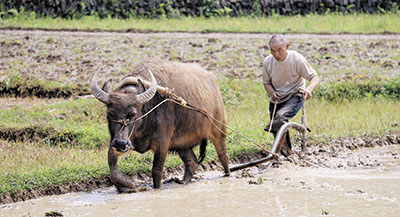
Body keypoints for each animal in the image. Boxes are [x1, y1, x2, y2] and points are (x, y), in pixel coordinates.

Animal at [90, 57, 228, 192]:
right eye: (110, 114)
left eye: (133, 114)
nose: (121, 143)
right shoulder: (114, 141)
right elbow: (113, 172)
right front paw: (128, 186)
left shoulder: (162, 143)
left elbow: (156, 171)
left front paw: (155, 188)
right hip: (182, 144)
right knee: (192, 161)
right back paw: (183, 181)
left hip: (219, 129)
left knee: (222, 154)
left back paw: (227, 173)